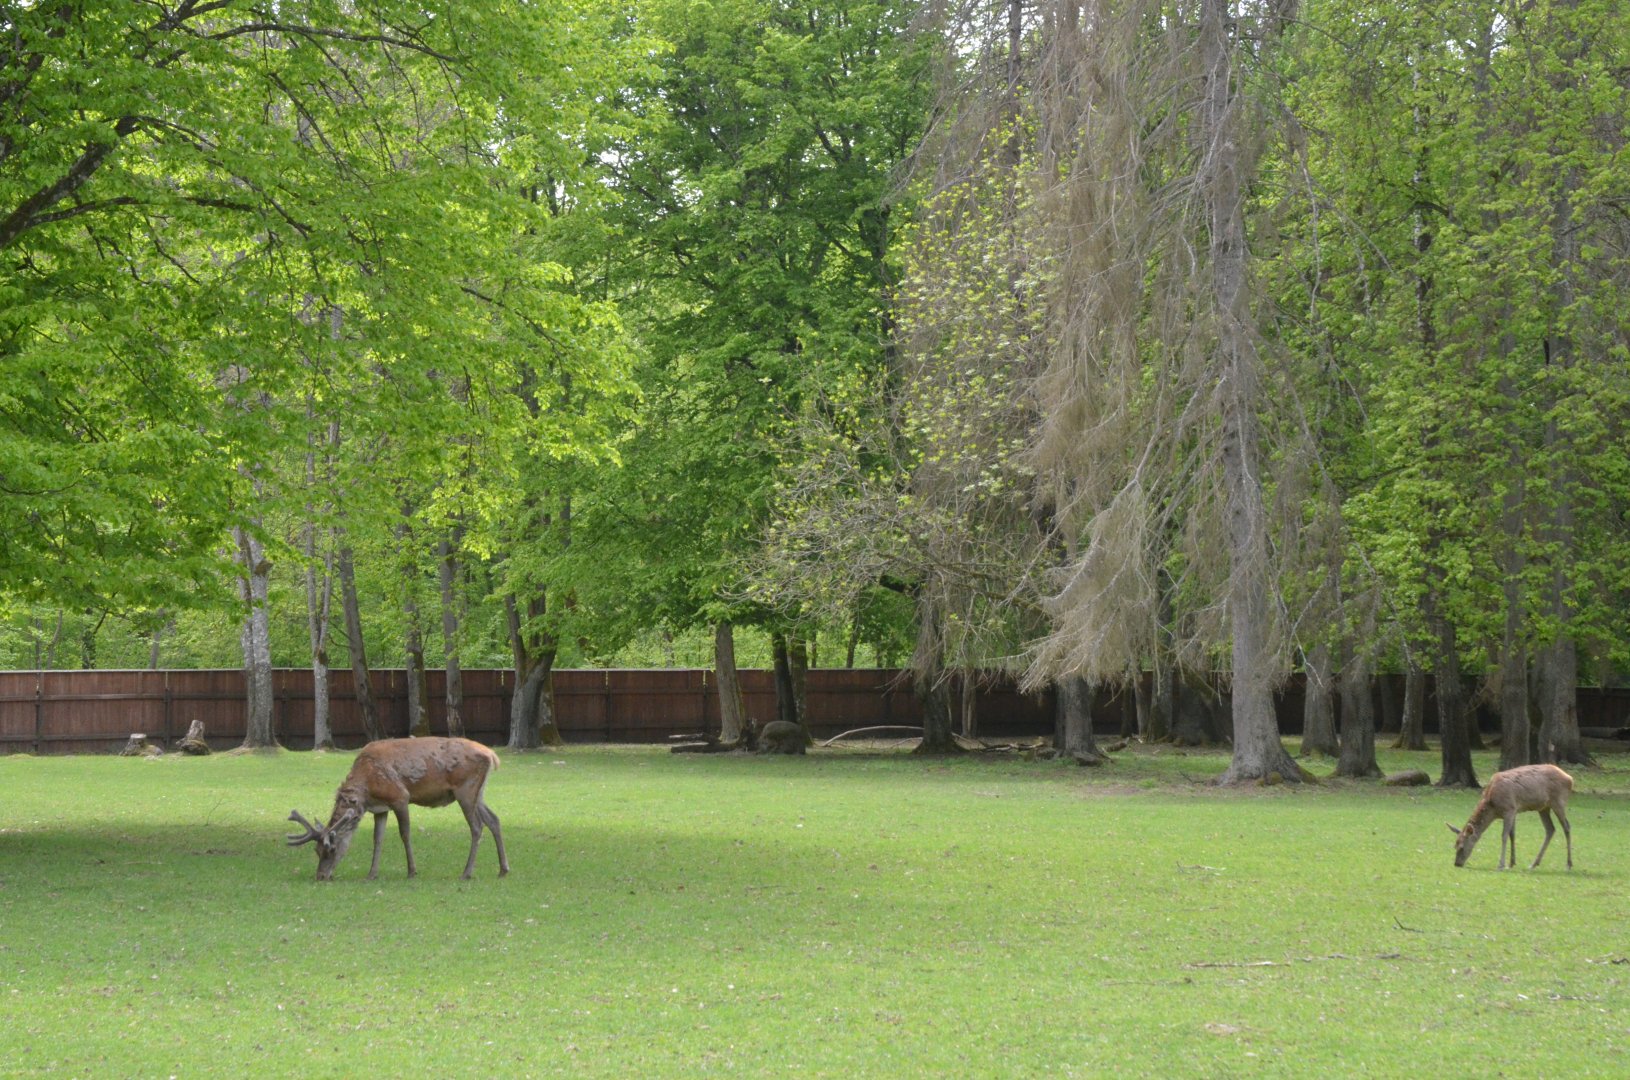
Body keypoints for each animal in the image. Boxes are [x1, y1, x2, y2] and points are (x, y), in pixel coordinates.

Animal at [287, 737, 509, 882]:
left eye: (331, 849)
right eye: (316, 850)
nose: (321, 876)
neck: (366, 789)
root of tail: (491, 755)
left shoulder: (400, 797)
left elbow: (405, 834)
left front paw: (412, 871)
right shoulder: (380, 809)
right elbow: (377, 839)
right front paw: (371, 874)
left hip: (465, 790)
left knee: (477, 826)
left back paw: (466, 872)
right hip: (478, 793)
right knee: (494, 819)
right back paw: (503, 869)